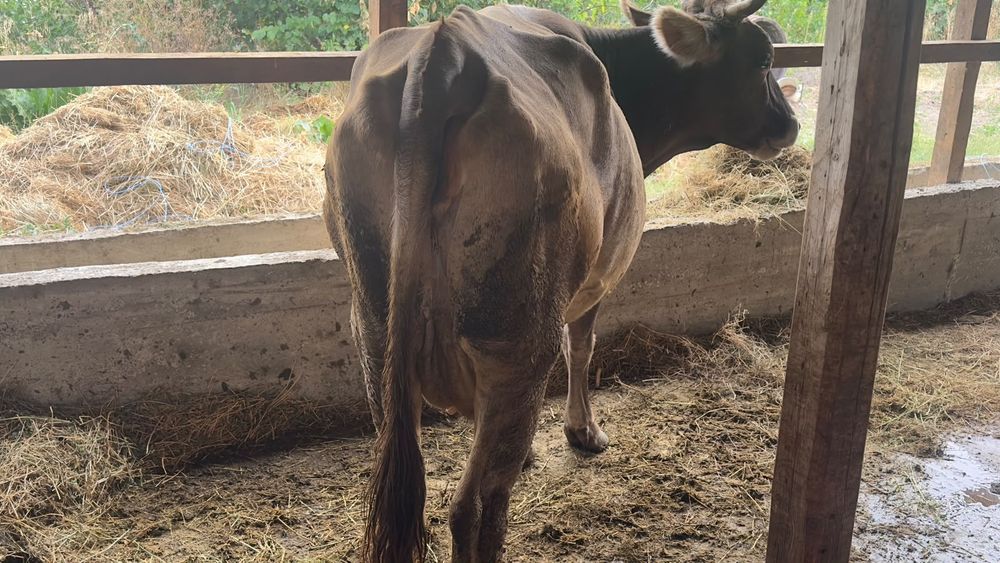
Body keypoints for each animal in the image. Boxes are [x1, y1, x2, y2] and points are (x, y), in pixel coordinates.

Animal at [323, 0, 798, 561]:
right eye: (764, 59)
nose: (791, 123)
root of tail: (442, 53)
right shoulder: (597, 278)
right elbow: (583, 346)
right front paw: (584, 431)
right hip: (517, 339)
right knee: (474, 506)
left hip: (376, 340)